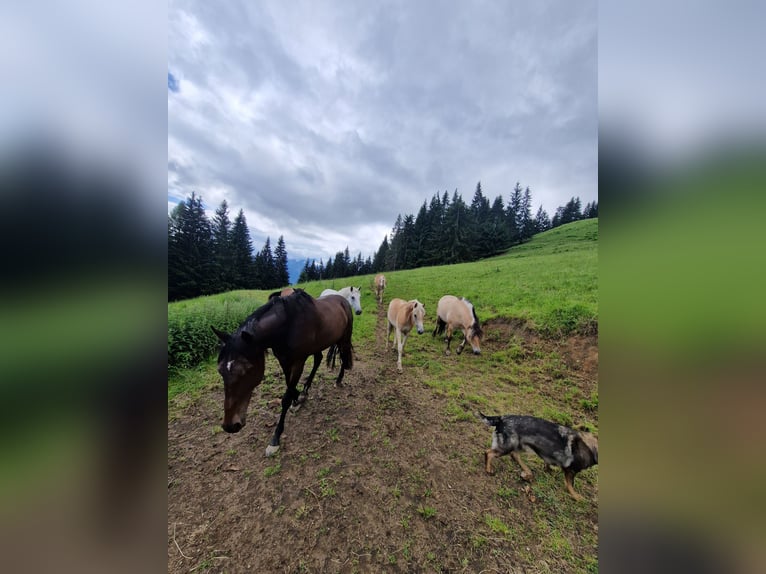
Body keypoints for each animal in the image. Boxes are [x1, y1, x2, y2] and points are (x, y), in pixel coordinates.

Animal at [210, 292, 354, 460]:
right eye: (220, 370)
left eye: (246, 370)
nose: (230, 426)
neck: (287, 328)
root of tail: (343, 299)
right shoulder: (284, 361)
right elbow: (289, 388)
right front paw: (298, 398)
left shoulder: (298, 362)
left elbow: (285, 397)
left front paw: (275, 438)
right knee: (318, 359)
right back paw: (305, 391)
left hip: (345, 337)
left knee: (344, 356)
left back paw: (338, 380)